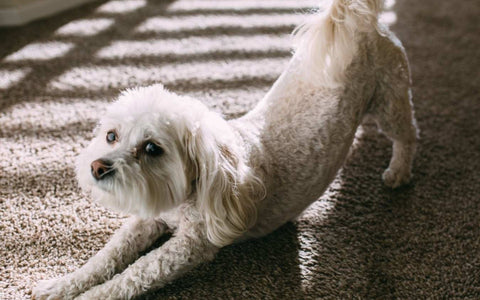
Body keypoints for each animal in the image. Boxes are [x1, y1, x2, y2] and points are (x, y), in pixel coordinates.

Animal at [33, 0, 416, 298]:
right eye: (112, 136)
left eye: (153, 148)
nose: (97, 167)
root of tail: (361, 22)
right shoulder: (149, 218)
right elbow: (107, 256)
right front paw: (61, 284)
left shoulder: (189, 248)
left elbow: (133, 276)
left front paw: (90, 295)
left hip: (390, 99)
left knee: (408, 134)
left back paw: (398, 171)